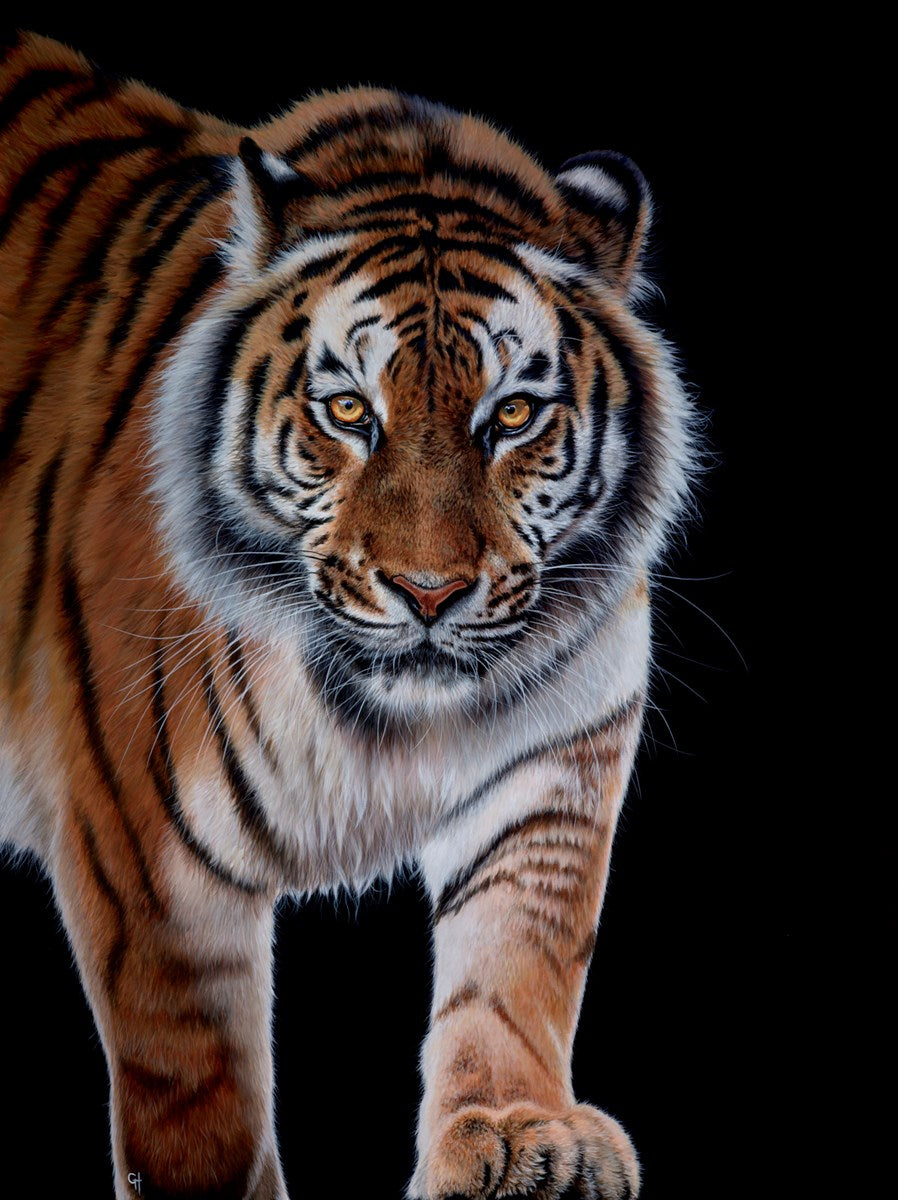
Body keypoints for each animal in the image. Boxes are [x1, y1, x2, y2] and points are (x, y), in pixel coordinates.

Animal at [0, 29, 696, 1200]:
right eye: (346, 411)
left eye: (513, 414)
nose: (429, 594)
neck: (383, 716)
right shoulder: (149, 870)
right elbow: (197, 1096)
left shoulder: (552, 776)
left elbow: (516, 972)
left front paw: (518, 1132)